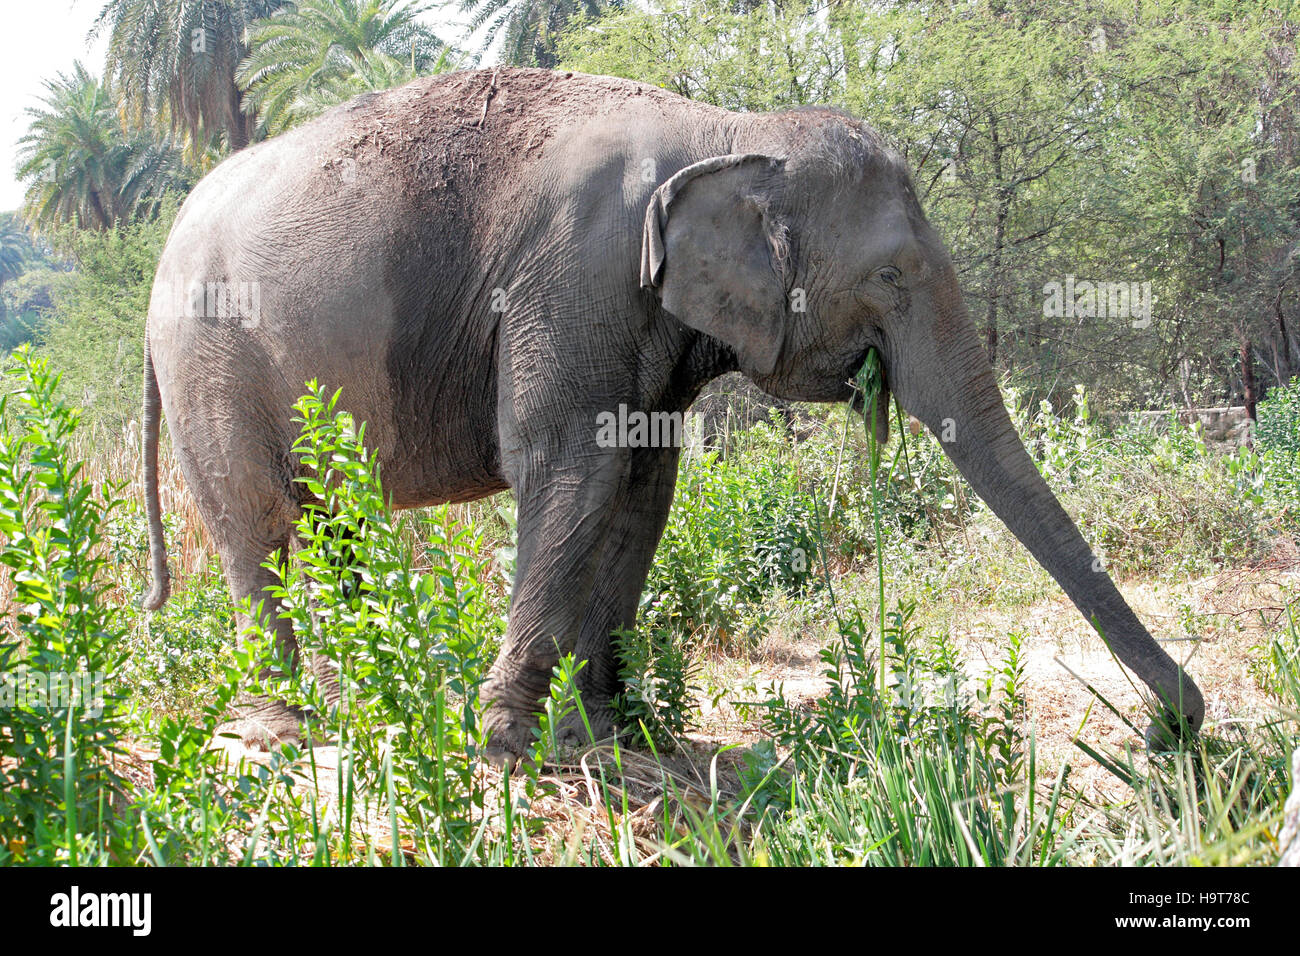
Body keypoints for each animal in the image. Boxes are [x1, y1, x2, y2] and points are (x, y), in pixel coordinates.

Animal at [137, 67, 1201, 764]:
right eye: (892, 277)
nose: (1172, 729)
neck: (726, 132)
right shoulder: (574, 274)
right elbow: (574, 467)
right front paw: (506, 745)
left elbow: (645, 485)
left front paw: (609, 732)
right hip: (212, 364)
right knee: (261, 530)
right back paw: (292, 726)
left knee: (329, 529)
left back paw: (369, 697)